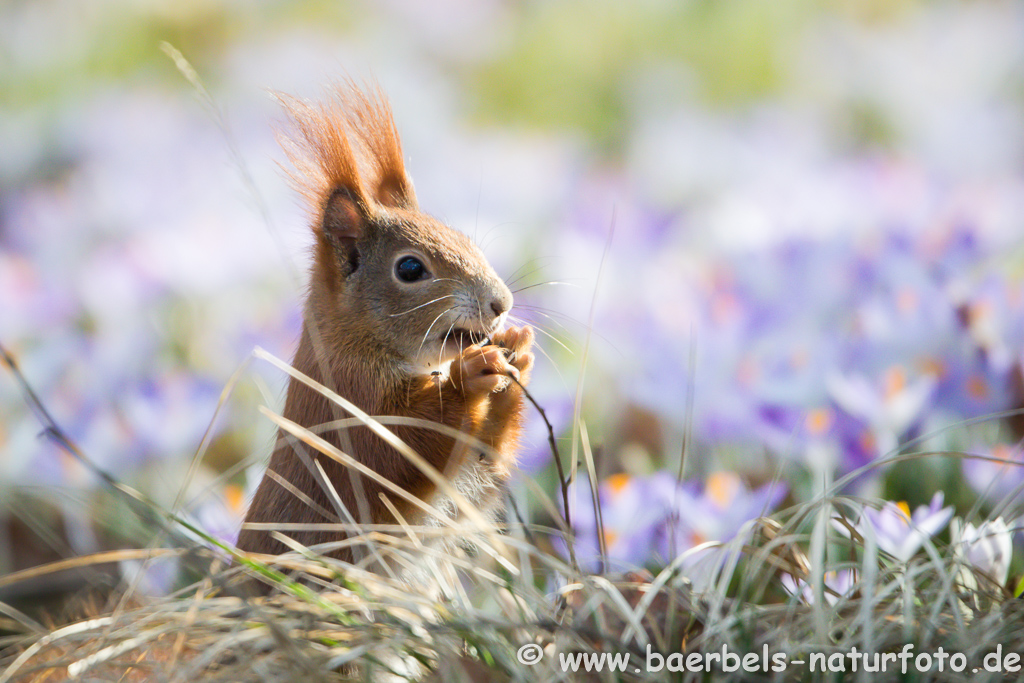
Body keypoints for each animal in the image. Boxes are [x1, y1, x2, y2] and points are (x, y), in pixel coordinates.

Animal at [234, 83, 536, 565]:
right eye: (410, 269)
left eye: (466, 240)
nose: (501, 303)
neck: (356, 343)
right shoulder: (345, 409)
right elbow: (396, 454)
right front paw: (469, 376)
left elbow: (487, 464)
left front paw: (517, 352)